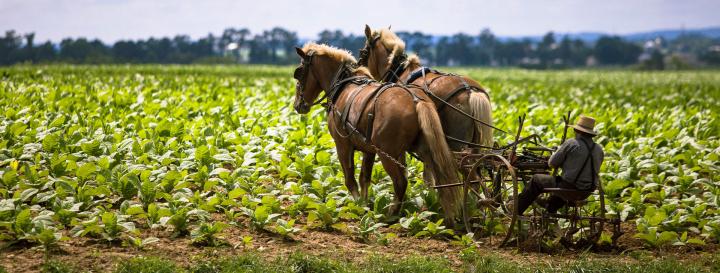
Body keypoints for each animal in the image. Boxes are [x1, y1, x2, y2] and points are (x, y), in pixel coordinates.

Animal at [292, 42, 462, 221]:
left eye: (299, 73)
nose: (297, 105)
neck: (343, 84)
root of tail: (416, 99)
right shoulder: (368, 149)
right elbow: (364, 177)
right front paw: (365, 205)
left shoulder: (342, 145)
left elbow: (350, 179)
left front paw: (358, 205)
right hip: (422, 151)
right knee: (436, 180)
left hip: (387, 154)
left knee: (401, 181)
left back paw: (391, 214)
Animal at [358, 26, 496, 159]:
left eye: (364, 52)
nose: (359, 67)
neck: (400, 71)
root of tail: (470, 91)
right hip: (474, 146)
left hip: (458, 145)